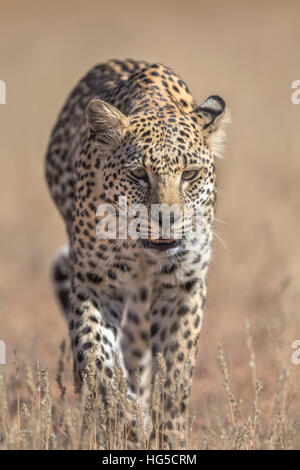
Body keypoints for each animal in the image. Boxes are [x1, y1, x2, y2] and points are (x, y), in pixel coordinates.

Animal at [45, 58, 227, 448]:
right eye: (139, 174)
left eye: (190, 174)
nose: (166, 218)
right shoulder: (94, 283)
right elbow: (95, 358)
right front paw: (119, 418)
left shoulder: (183, 285)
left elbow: (175, 372)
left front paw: (168, 436)